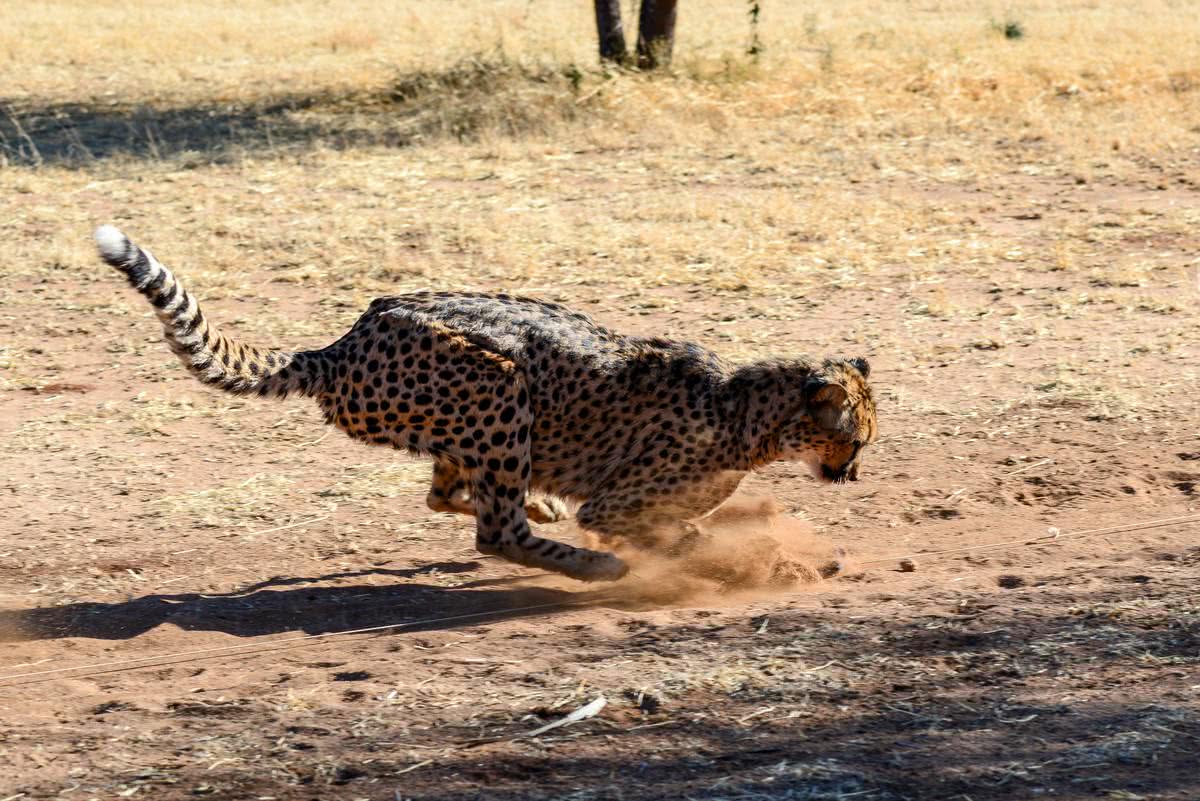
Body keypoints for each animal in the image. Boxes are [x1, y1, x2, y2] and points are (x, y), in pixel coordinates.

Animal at [96, 225, 873, 582]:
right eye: (856, 438)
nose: (853, 475)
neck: (748, 413)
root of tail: (351, 335)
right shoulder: (616, 505)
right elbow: (672, 533)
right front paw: (744, 562)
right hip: (499, 384)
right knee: (495, 532)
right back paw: (586, 561)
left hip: (469, 417)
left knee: (447, 496)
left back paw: (541, 505)